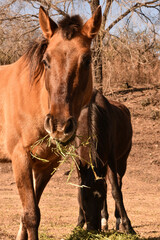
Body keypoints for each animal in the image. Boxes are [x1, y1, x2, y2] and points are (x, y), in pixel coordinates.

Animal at [0, 5, 102, 240]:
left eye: (86, 60)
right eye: (46, 61)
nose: (59, 126)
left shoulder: (47, 165)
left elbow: (28, 215)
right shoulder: (20, 159)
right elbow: (30, 215)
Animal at [74, 89, 134, 232]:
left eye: (99, 198)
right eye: (84, 198)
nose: (92, 228)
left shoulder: (111, 159)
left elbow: (116, 191)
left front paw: (127, 225)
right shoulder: (78, 160)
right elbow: (80, 185)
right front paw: (79, 223)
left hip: (122, 161)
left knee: (118, 183)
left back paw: (117, 220)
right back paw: (104, 220)